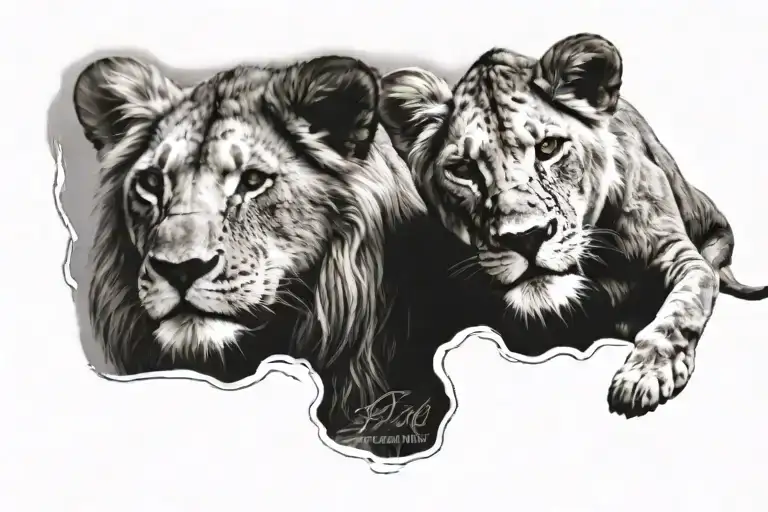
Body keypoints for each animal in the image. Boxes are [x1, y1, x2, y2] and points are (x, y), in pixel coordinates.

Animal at [377, 33, 768, 419]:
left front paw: (644, 374)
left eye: (549, 147)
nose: (526, 238)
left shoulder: (681, 257)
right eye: (463, 169)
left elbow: (681, 308)